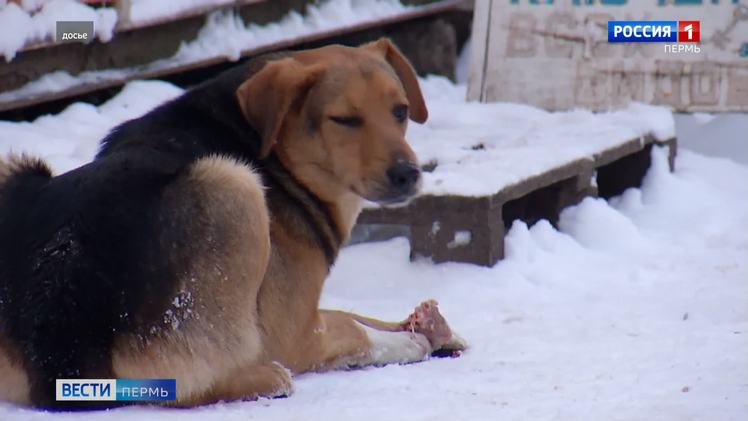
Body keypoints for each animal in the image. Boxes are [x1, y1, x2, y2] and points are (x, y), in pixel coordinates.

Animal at [0, 38, 464, 406]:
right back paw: (264, 378)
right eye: (344, 120)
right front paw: (408, 339)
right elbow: (351, 326)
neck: (282, 160)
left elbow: (354, 314)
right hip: (233, 183)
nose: (408, 173)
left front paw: (431, 328)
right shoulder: (291, 333)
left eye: (401, 111)